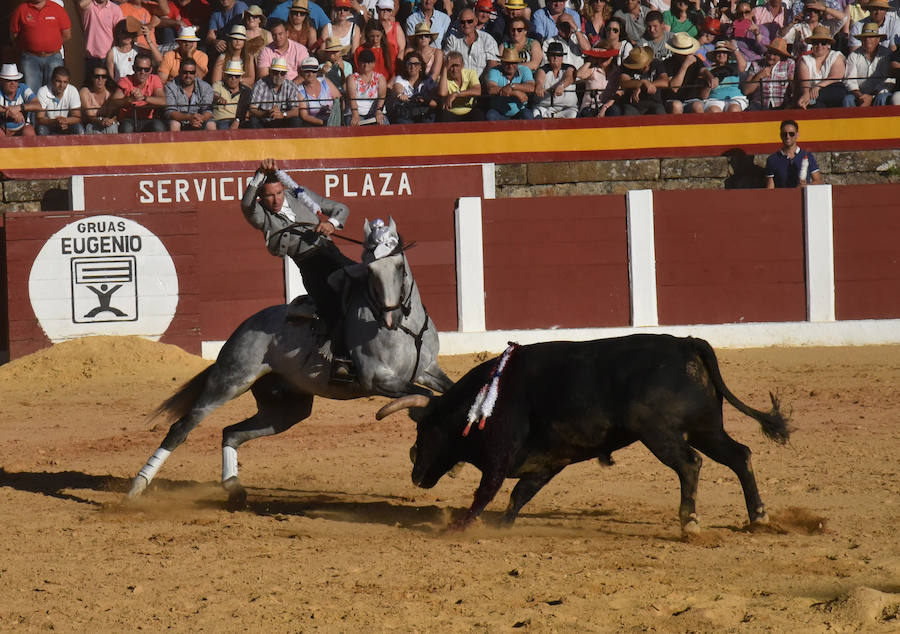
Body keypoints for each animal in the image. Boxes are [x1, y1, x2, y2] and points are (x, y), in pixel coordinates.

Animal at [125, 218, 450, 504]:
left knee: (231, 433)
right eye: (369, 270)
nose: (389, 319)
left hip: (286, 409)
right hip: (230, 381)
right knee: (182, 428)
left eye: (399, 266)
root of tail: (245, 326)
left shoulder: (426, 370)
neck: (406, 329)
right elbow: (426, 398)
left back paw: (234, 487)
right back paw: (137, 487)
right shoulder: (378, 379)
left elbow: (443, 389)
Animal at [376, 334, 792, 532]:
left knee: (690, 464)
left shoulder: (499, 456)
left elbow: (485, 494)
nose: (415, 475)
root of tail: (688, 343)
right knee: (739, 455)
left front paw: (459, 527)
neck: (481, 400)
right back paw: (759, 517)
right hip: (706, 428)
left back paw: (689, 522)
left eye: (424, 432)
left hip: (659, 433)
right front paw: (504, 525)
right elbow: (518, 495)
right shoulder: (546, 463)